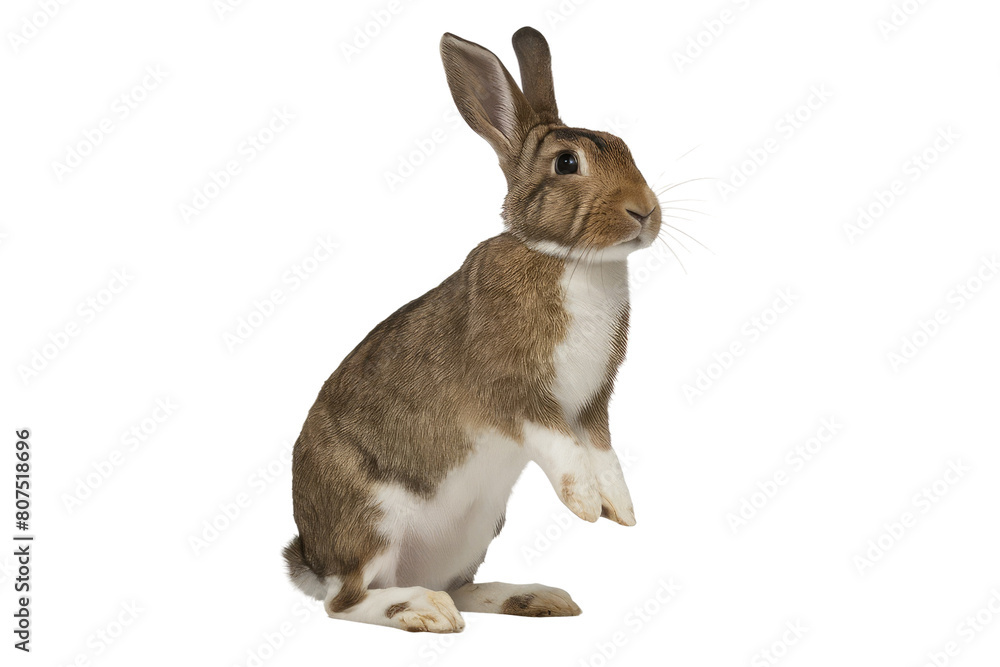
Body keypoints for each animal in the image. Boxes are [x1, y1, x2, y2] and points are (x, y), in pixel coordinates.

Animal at [284, 26, 662, 632]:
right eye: (566, 163)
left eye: (623, 144)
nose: (644, 211)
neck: (566, 257)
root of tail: (315, 560)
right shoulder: (517, 395)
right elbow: (565, 452)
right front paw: (584, 503)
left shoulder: (593, 405)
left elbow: (605, 454)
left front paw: (622, 509)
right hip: (371, 518)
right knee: (346, 602)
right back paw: (423, 611)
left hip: (478, 529)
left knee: (459, 587)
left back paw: (538, 598)